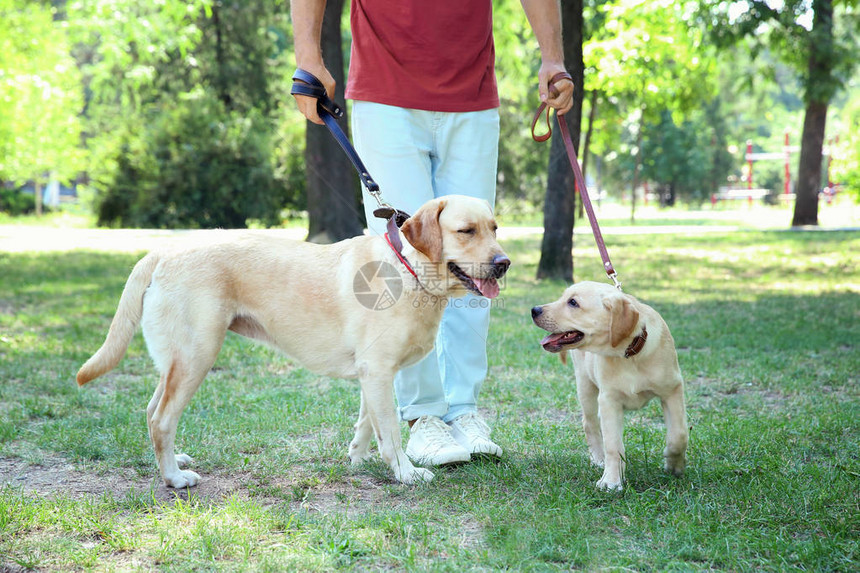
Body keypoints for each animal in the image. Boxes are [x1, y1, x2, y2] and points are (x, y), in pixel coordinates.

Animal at [75, 194, 510, 484]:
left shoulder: (372, 376)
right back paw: (174, 479)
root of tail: (165, 250)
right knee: (162, 419)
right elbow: (389, 433)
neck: (410, 271)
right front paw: (405, 472)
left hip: (175, 362)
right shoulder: (379, 372)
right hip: (196, 356)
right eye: (466, 231)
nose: (504, 263)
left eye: (494, 228)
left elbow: (367, 424)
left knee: (151, 412)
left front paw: (357, 459)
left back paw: (173, 463)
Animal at [532, 280, 684, 490]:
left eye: (573, 302)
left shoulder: (672, 390)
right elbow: (613, 445)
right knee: (589, 423)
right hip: (585, 384)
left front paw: (674, 464)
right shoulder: (609, 400)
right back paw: (598, 459)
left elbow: (679, 435)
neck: (629, 354)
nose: (534, 310)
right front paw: (611, 480)